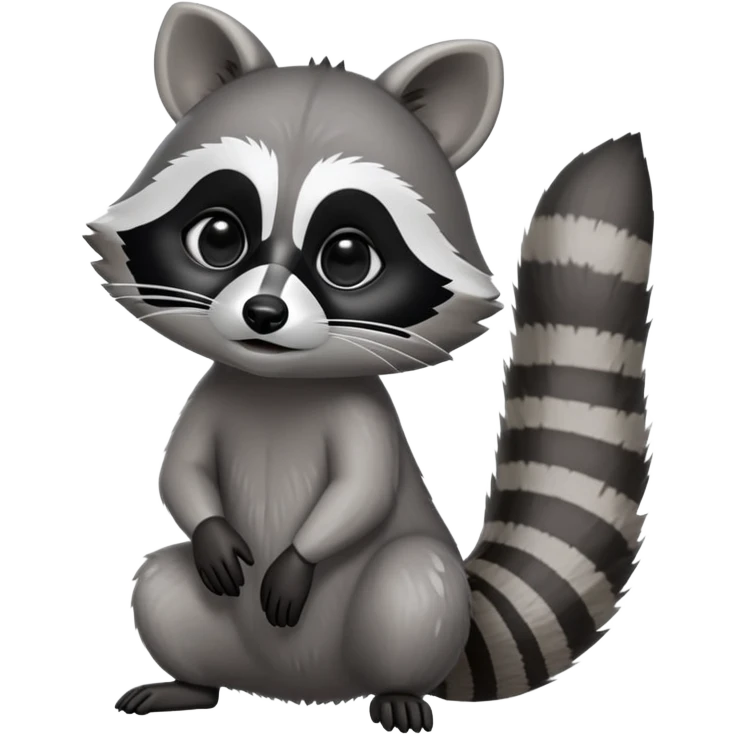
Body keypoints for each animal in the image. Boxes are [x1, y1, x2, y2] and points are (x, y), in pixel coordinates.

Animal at [91, 2, 654, 731]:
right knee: (160, 576)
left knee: (408, 580)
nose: (264, 314)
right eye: (218, 237)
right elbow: (180, 472)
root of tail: (302, 690)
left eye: (348, 257)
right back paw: (190, 683)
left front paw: (300, 559)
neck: (278, 386)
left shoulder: (362, 415)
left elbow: (362, 493)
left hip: (414, 606)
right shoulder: (217, 391)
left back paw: (398, 690)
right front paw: (210, 530)